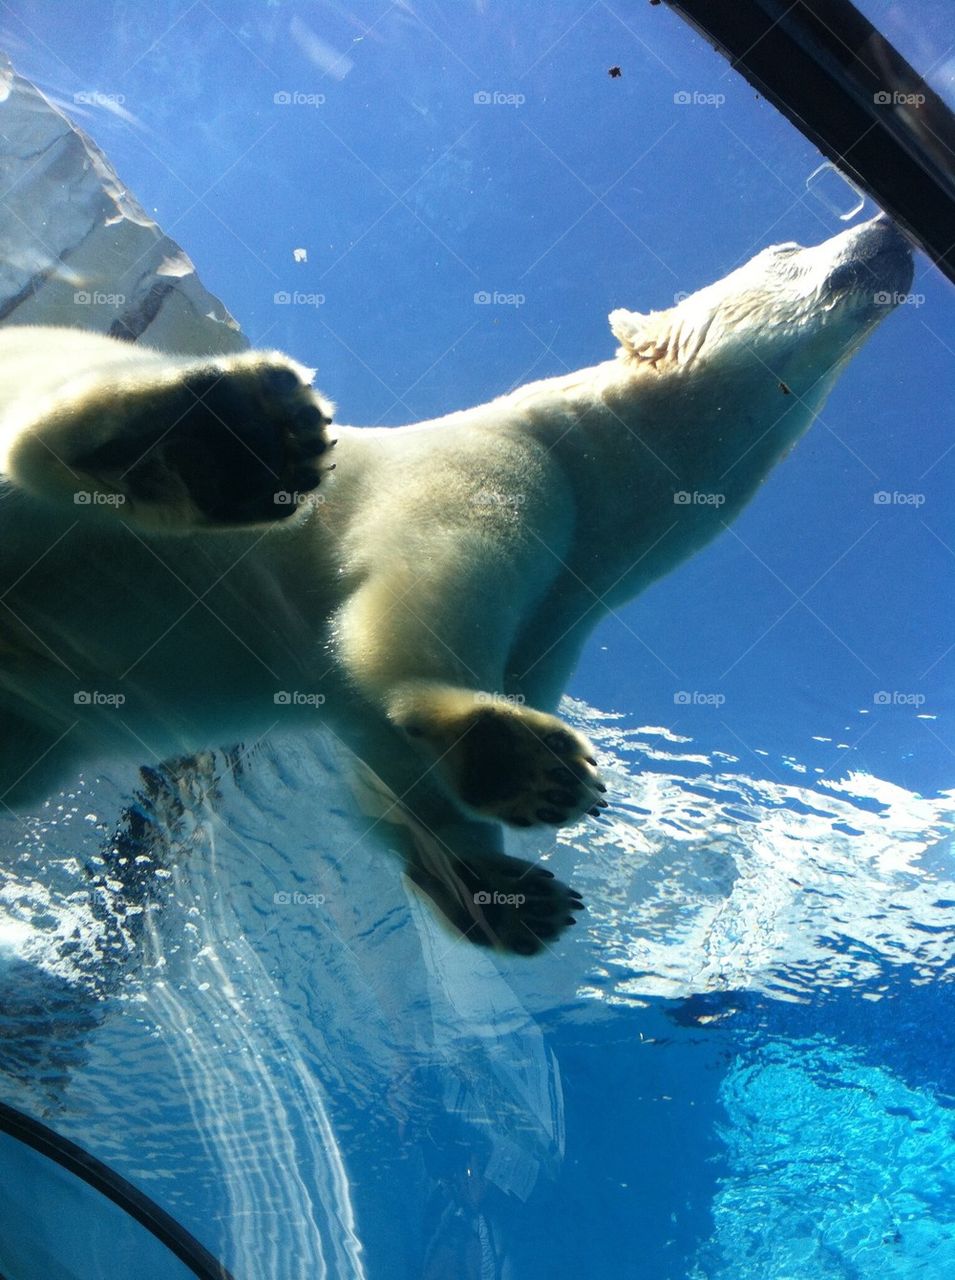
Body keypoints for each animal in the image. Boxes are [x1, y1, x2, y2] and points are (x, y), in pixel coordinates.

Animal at [0, 214, 912, 955]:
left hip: (37, 716)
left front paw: (500, 893)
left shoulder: (557, 621)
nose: (890, 232)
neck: (599, 484)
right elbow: (429, 587)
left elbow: (390, 769)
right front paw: (519, 757)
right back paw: (215, 443)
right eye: (785, 247)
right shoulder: (502, 468)